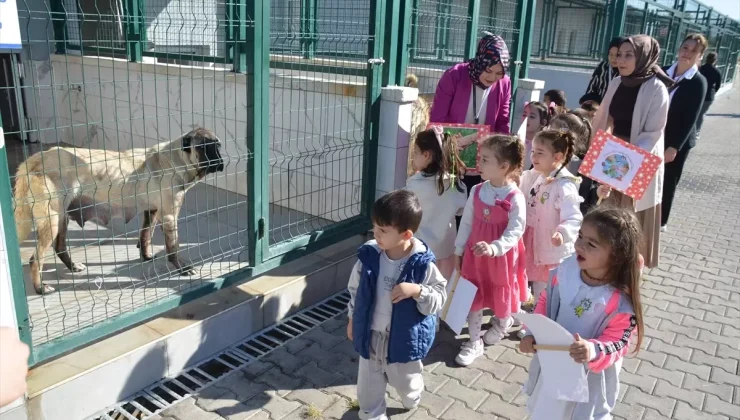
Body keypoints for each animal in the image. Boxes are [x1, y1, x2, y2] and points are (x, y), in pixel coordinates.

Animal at [11, 126, 224, 294]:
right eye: (203, 147)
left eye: (218, 146)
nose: (220, 162)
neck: (176, 159)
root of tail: (32, 160)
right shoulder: (170, 216)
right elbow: (173, 248)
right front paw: (181, 268)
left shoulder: (152, 212)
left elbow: (145, 236)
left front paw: (146, 256)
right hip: (52, 220)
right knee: (35, 259)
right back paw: (40, 288)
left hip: (61, 217)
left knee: (59, 247)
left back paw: (72, 266)